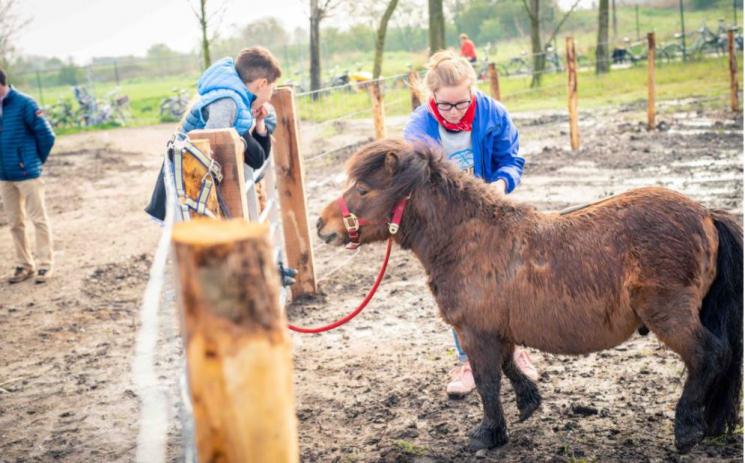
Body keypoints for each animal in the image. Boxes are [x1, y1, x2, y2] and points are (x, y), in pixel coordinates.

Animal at [316, 139, 743, 454]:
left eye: (363, 189)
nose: (322, 225)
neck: (468, 240)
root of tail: (706, 213)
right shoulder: (495, 330)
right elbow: (507, 365)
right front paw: (528, 402)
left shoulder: (476, 332)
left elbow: (487, 381)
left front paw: (488, 434)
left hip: (670, 315)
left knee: (708, 355)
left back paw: (687, 429)